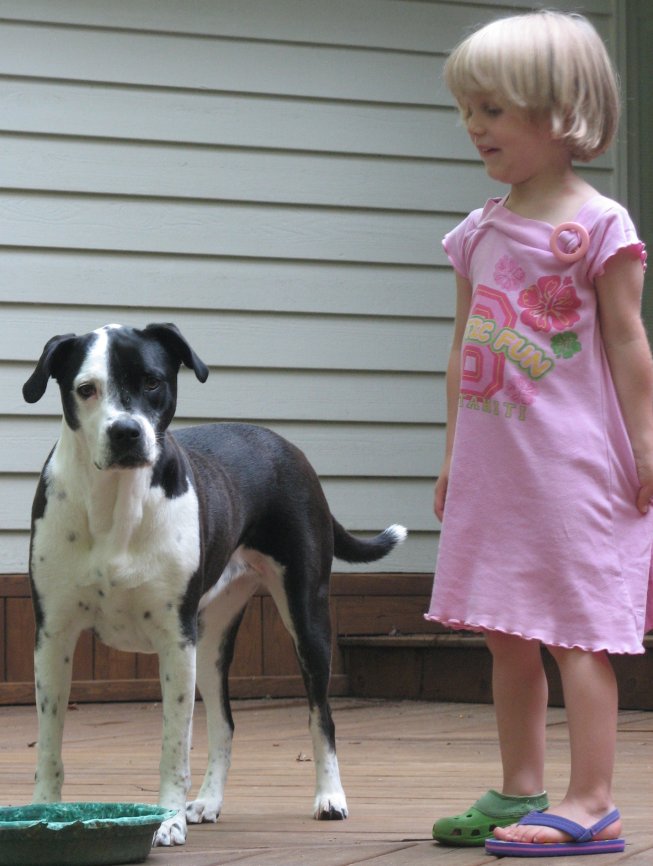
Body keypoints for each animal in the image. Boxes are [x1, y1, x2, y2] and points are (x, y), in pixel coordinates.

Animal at [21, 324, 402, 844]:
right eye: (86, 389)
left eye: (153, 382)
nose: (126, 432)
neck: (116, 504)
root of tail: (285, 445)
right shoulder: (53, 636)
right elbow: (49, 742)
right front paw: (43, 812)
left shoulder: (174, 640)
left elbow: (173, 745)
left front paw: (167, 821)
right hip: (212, 638)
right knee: (225, 723)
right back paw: (209, 802)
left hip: (306, 618)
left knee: (320, 713)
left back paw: (329, 797)